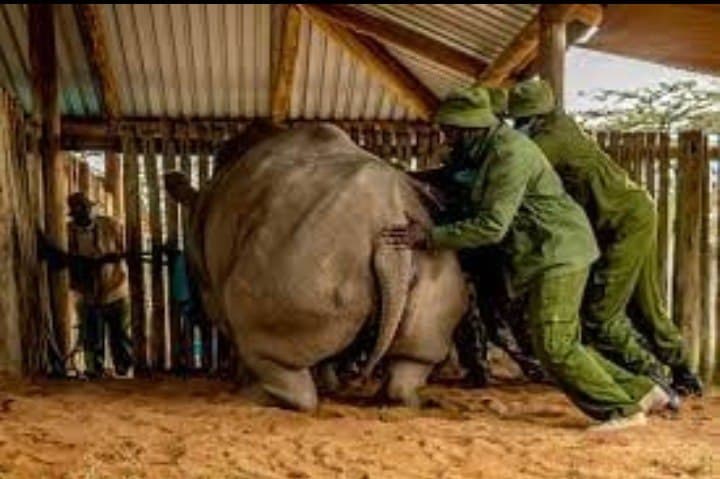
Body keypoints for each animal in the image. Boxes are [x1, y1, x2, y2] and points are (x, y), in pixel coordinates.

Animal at [165, 122, 468, 411]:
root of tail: (387, 214)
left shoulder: (210, 288)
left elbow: (231, 331)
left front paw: (240, 379)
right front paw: (331, 386)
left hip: (298, 260)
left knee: (257, 335)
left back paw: (248, 396)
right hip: (420, 248)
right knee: (417, 351)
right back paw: (404, 400)